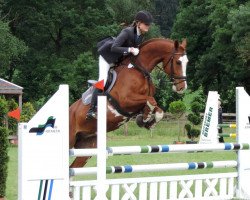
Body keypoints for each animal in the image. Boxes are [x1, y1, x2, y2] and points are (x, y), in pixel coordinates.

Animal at [68, 38, 188, 168]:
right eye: (178, 62)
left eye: (187, 62)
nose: (182, 87)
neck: (139, 69)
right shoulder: (125, 100)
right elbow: (151, 101)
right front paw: (145, 118)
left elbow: (157, 109)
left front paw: (146, 121)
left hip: (87, 147)